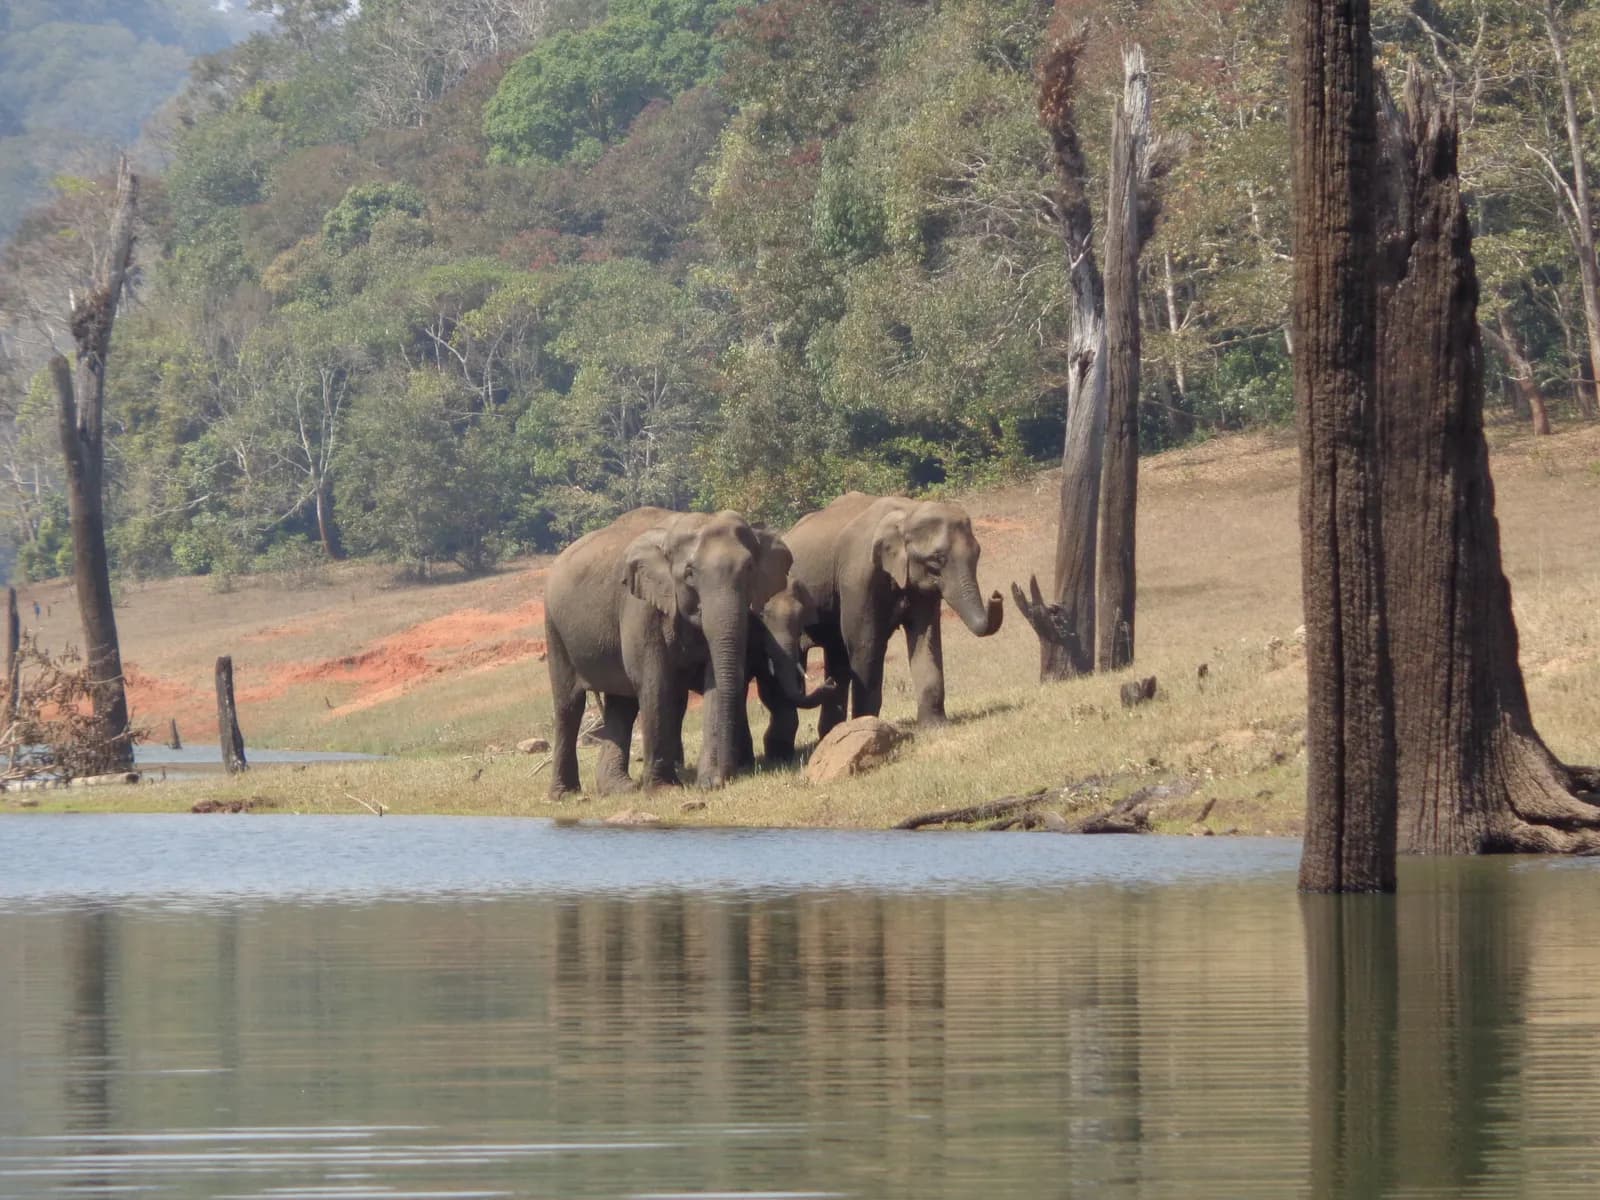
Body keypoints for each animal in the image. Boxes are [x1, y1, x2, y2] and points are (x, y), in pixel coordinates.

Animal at [542, 508, 794, 799]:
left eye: (750, 568)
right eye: (689, 573)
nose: (725, 778)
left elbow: (714, 682)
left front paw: (707, 781)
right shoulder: (640, 607)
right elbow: (655, 682)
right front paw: (664, 790)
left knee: (622, 704)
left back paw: (620, 788)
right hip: (554, 629)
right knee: (569, 705)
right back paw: (565, 795)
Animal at [761, 493, 1005, 760]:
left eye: (978, 553)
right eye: (937, 559)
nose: (997, 595)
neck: (907, 512)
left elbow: (925, 638)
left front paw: (936, 726)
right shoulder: (857, 576)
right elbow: (865, 643)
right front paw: (866, 729)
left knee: (837, 654)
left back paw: (829, 731)